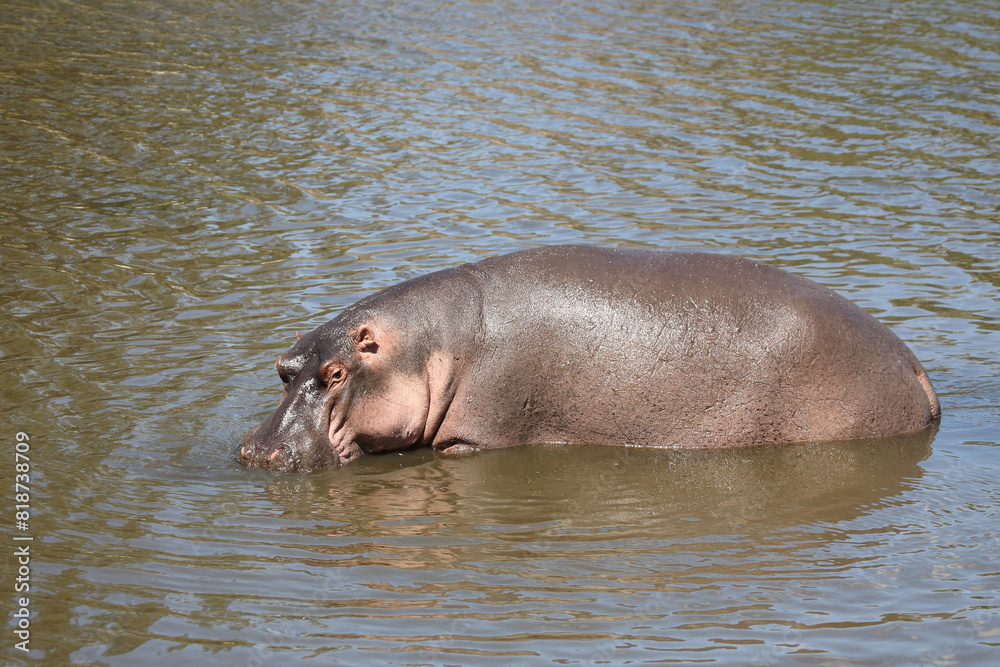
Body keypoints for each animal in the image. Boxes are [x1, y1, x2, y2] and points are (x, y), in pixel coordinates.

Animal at [240, 245, 940, 472]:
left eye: (335, 373)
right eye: (282, 367)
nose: (256, 451)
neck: (433, 346)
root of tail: (913, 365)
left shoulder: (475, 440)